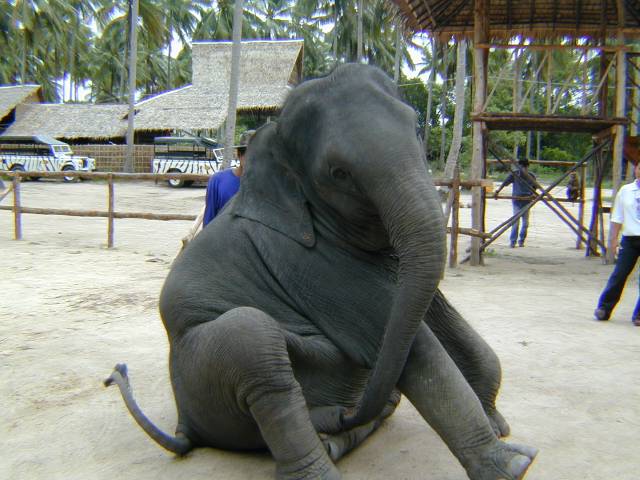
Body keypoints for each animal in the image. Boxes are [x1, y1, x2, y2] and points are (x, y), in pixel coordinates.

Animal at [105, 64, 537, 480]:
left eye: (417, 128)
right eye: (338, 173)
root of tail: (186, 425)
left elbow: (437, 315)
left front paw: (499, 426)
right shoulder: (309, 263)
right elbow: (410, 348)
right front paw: (514, 464)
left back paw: (341, 434)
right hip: (205, 370)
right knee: (253, 341)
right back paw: (324, 458)